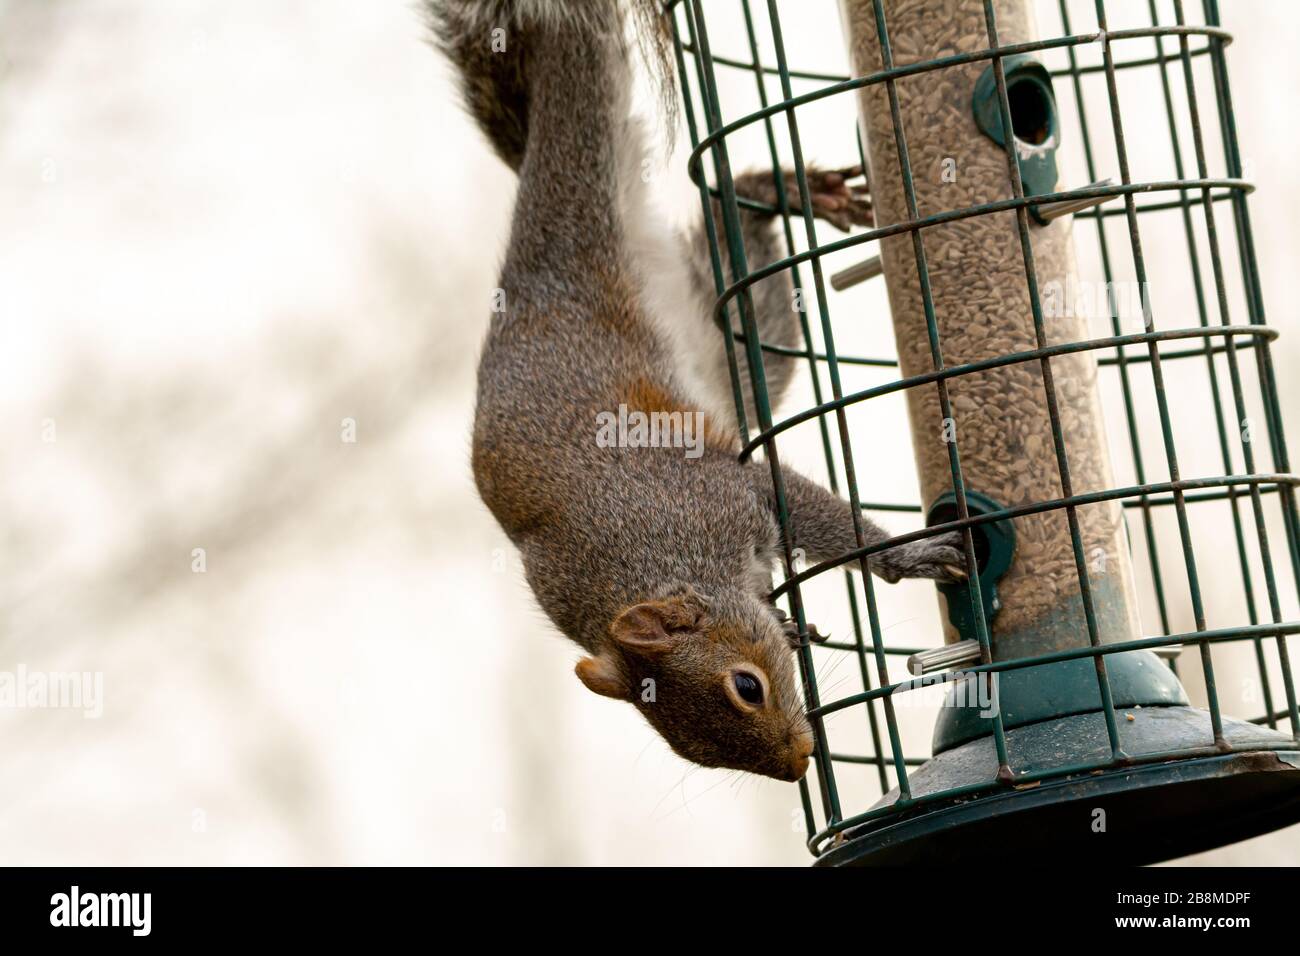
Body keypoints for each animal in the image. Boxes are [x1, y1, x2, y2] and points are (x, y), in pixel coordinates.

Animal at [428, 0, 967, 780]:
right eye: (694, 752)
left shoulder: (722, 493)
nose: (797, 763)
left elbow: (811, 510)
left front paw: (906, 555)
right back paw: (772, 194)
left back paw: (785, 187)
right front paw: (790, 621)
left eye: (746, 687)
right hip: (731, 340)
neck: (659, 562)